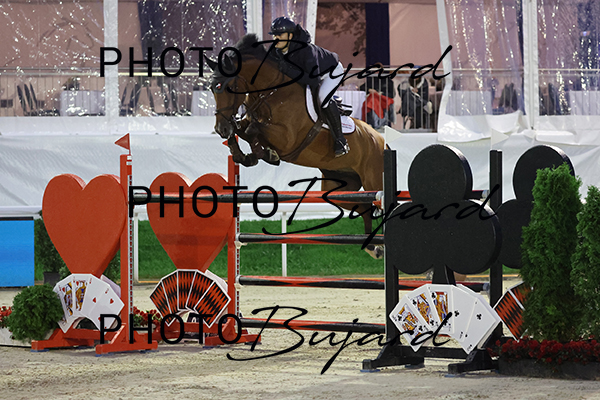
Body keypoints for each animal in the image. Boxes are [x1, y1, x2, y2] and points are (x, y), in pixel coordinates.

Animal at [206, 34, 386, 259]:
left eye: (226, 87)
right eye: (212, 88)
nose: (220, 128)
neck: (271, 93)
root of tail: (380, 140)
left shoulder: (287, 137)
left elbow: (253, 130)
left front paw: (266, 154)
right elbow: (242, 129)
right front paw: (244, 155)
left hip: (373, 180)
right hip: (340, 186)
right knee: (364, 207)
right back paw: (374, 247)